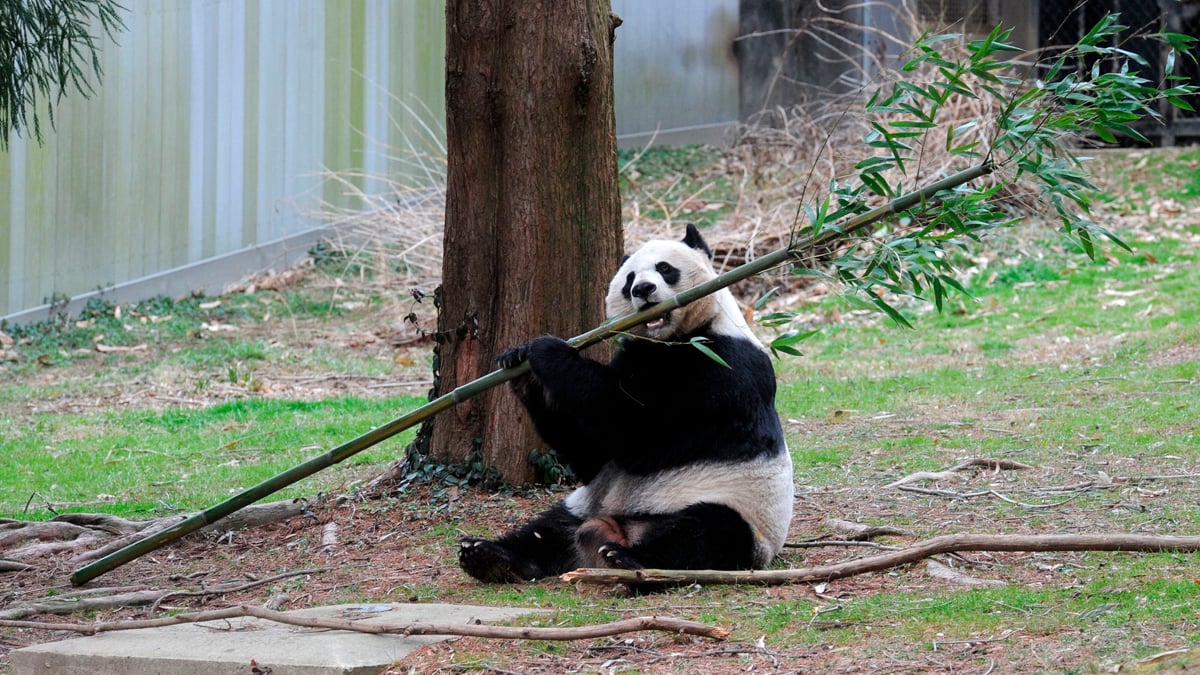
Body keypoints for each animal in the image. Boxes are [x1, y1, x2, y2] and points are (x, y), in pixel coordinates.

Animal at [458, 223, 794, 582]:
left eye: (665, 268)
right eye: (629, 279)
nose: (643, 289)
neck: (668, 341)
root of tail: (615, 530)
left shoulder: (722, 369)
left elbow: (635, 432)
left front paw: (546, 350)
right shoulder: (637, 355)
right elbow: (591, 454)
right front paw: (519, 363)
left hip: (733, 507)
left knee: (708, 534)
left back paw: (629, 559)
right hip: (584, 505)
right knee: (547, 530)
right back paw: (490, 556)